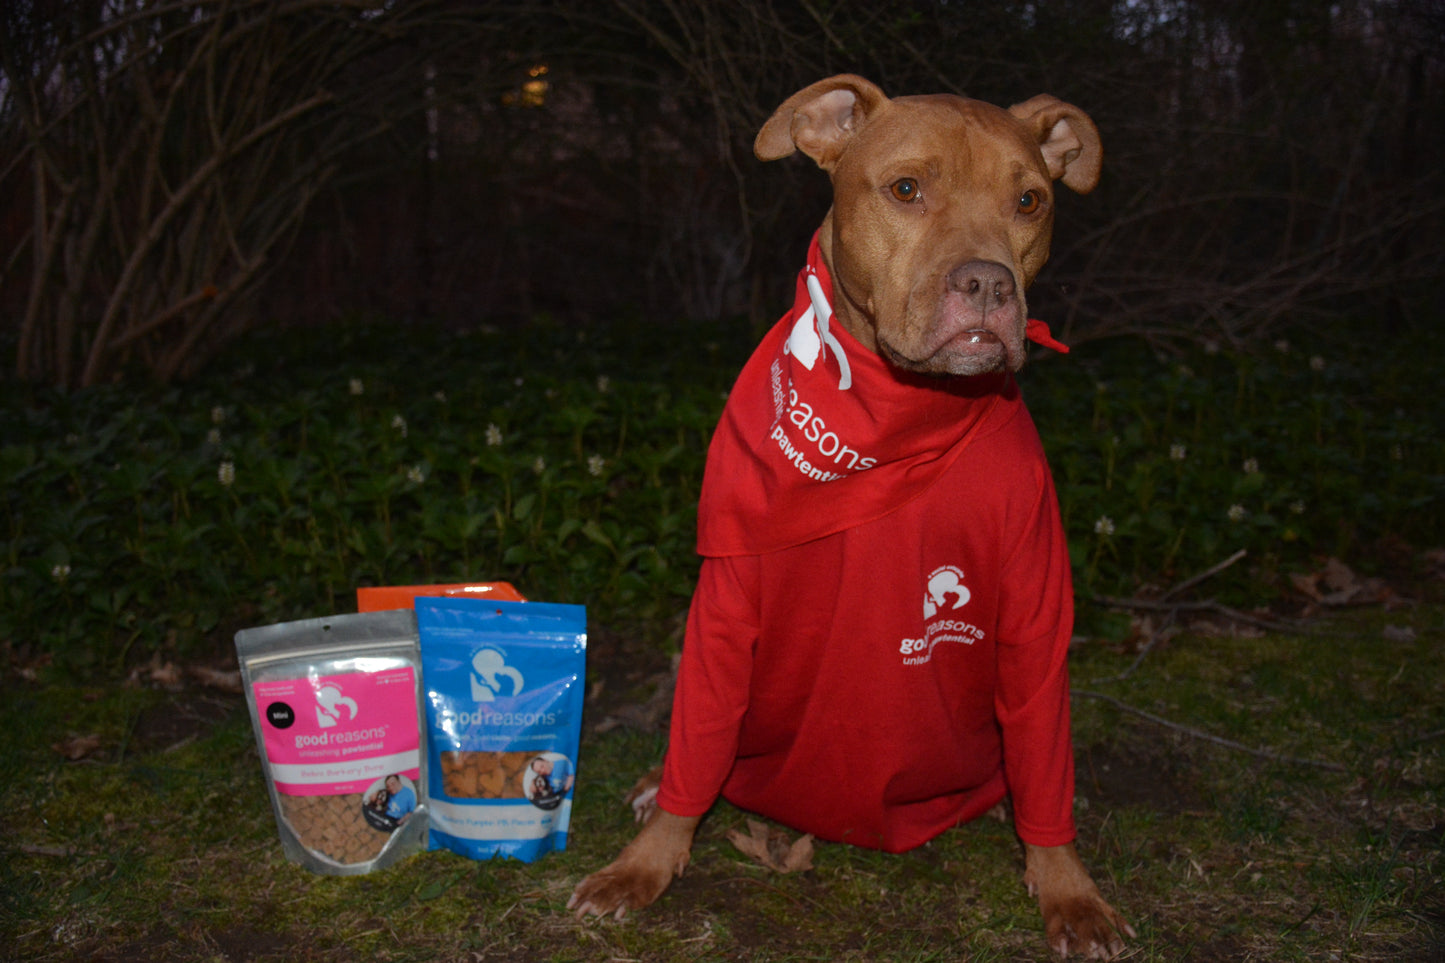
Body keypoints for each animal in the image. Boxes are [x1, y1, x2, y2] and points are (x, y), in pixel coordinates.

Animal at [569, 76, 1132, 960]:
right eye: (904, 189)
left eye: (1030, 201)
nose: (989, 285)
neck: (895, 415)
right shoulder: (726, 604)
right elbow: (699, 736)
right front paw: (647, 859)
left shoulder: (1033, 611)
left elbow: (1046, 755)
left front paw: (1065, 882)